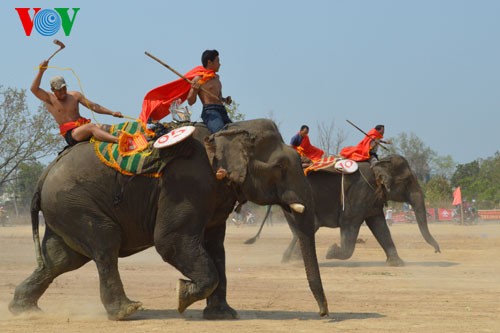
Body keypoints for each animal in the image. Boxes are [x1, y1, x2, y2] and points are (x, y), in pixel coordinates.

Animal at [8, 136, 220, 320]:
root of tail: (43, 177)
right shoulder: (185, 185)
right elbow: (170, 242)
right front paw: (181, 295)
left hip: (62, 210)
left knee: (61, 259)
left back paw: (24, 310)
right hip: (73, 204)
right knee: (105, 243)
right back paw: (126, 311)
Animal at [266, 154, 442, 266]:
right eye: (407, 181)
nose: (437, 251)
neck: (377, 165)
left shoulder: (372, 200)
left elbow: (380, 226)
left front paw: (397, 263)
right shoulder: (358, 193)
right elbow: (349, 224)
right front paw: (331, 252)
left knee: (301, 231)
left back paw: (289, 259)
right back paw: (297, 261)